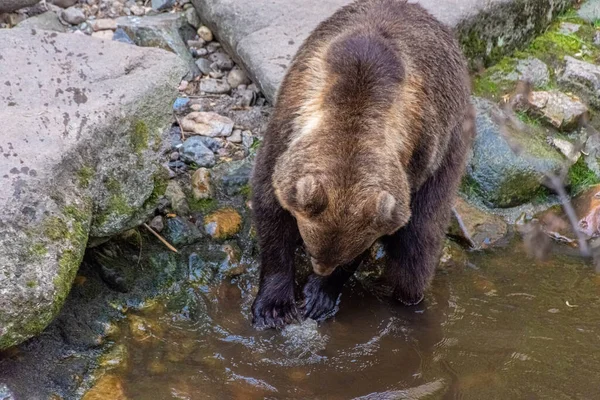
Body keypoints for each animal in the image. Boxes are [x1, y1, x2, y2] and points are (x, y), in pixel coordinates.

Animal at [248, 0, 474, 328]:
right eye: (313, 251)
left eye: (336, 257)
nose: (321, 269)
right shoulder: (286, 128)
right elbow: (271, 209)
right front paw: (274, 306)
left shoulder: (414, 157)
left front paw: (319, 295)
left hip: (450, 146)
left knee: (420, 241)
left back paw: (409, 300)